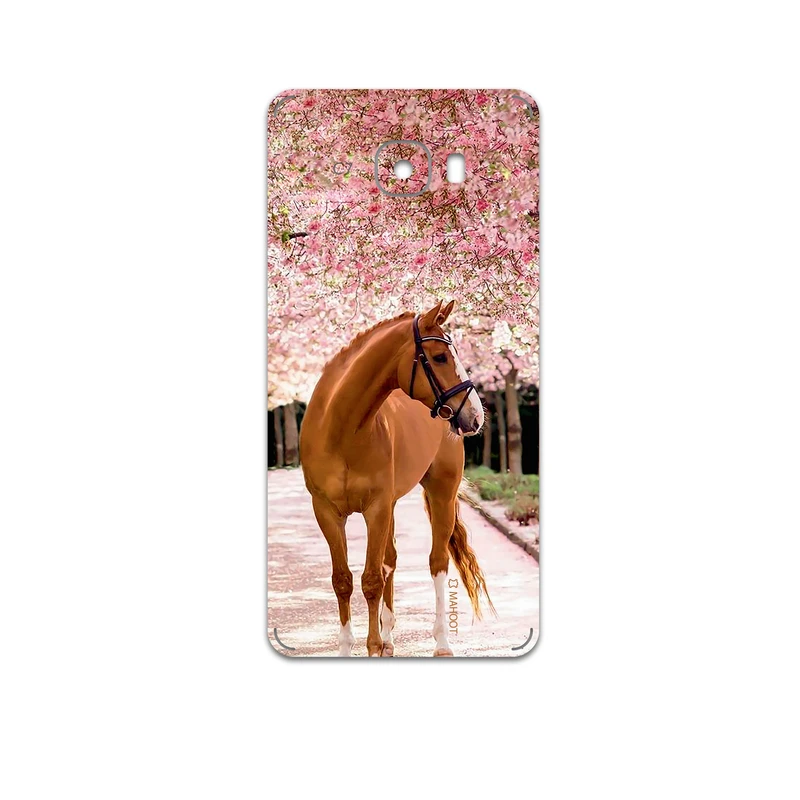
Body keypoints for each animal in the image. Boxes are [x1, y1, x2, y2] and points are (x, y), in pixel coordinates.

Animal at [299, 300, 493, 657]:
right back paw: (390, 638)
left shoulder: (375, 508)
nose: (475, 415)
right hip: (390, 505)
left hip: (441, 493)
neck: (341, 431)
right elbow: (343, 580)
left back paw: (441, 643)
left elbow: (372, 579)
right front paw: (354, 646)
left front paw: (373, 645)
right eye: (440, 357)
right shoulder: (327, 512)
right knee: (390, 560)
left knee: (437, 562)